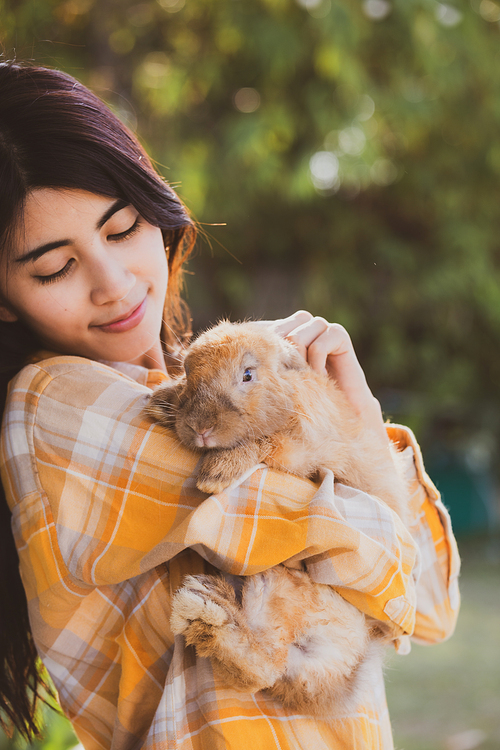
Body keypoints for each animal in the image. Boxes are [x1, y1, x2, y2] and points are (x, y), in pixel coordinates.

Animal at [145, 320, 410, 720]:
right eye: (189, 373)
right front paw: (161, 402)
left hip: (280, 587)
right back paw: (206, 607)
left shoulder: (301, 448)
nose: (200, 428)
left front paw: (216, 474)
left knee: (265, 663)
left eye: (247, 375)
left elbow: (264, 444)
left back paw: (206, 605)